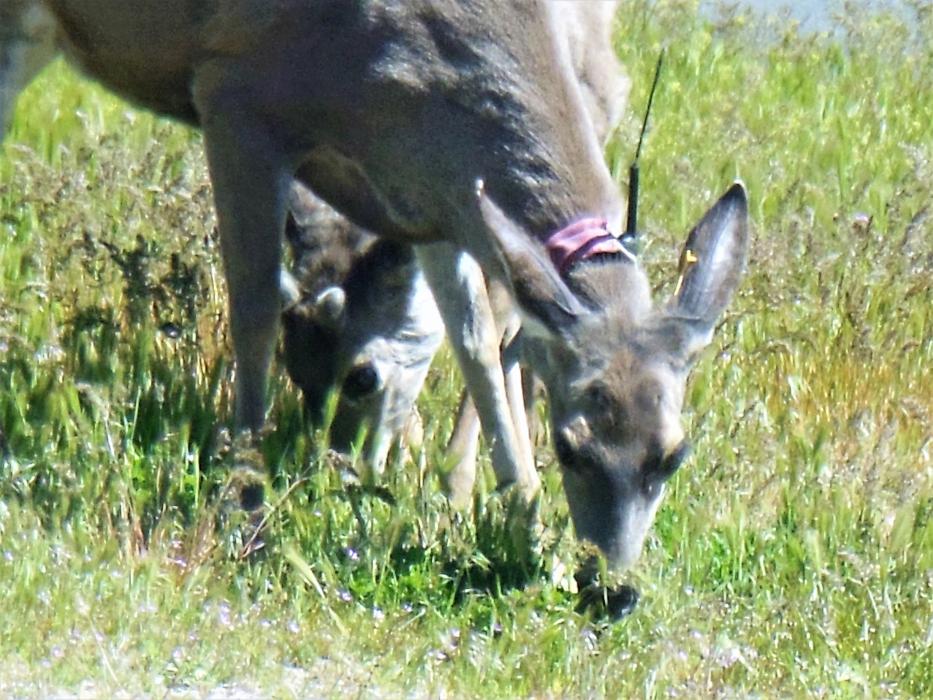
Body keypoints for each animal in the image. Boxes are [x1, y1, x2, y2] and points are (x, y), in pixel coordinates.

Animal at [3, 0, 747, 570]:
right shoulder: (234, 91)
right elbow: (254, 309)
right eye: (570, 445)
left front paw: (526, 531)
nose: (612, 589)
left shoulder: (440, 198)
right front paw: (246, 511)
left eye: (673, 453)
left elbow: (476, 342)